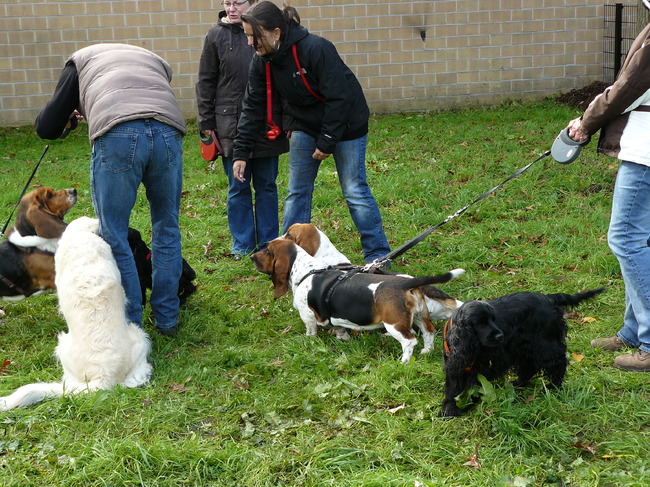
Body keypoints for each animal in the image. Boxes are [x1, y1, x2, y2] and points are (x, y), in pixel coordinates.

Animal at [251, 238, 464, 364]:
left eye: (267, 250)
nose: (251, 256)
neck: (307, 270)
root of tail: (406, 282)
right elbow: (339, 328)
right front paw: (342, 338)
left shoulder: (308, 316)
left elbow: (311, 331)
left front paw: (308, 341)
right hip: (420, 316)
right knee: (429, 332)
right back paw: (427, 351)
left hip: (394, 324)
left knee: (409, 341)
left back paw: (403, 362)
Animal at [438, 288, 604, 418]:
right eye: (481, 322)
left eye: (493, 319)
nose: (500, 336)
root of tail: (547, 298)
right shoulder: (454, 364)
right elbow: (452, 388)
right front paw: (449, 408)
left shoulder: (483, 366)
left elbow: (476, 385)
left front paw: (467, 403)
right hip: (524, 348)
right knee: (529, 367)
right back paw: (519, 383)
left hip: (544, 345)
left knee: (558, 363)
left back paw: (553, 387)